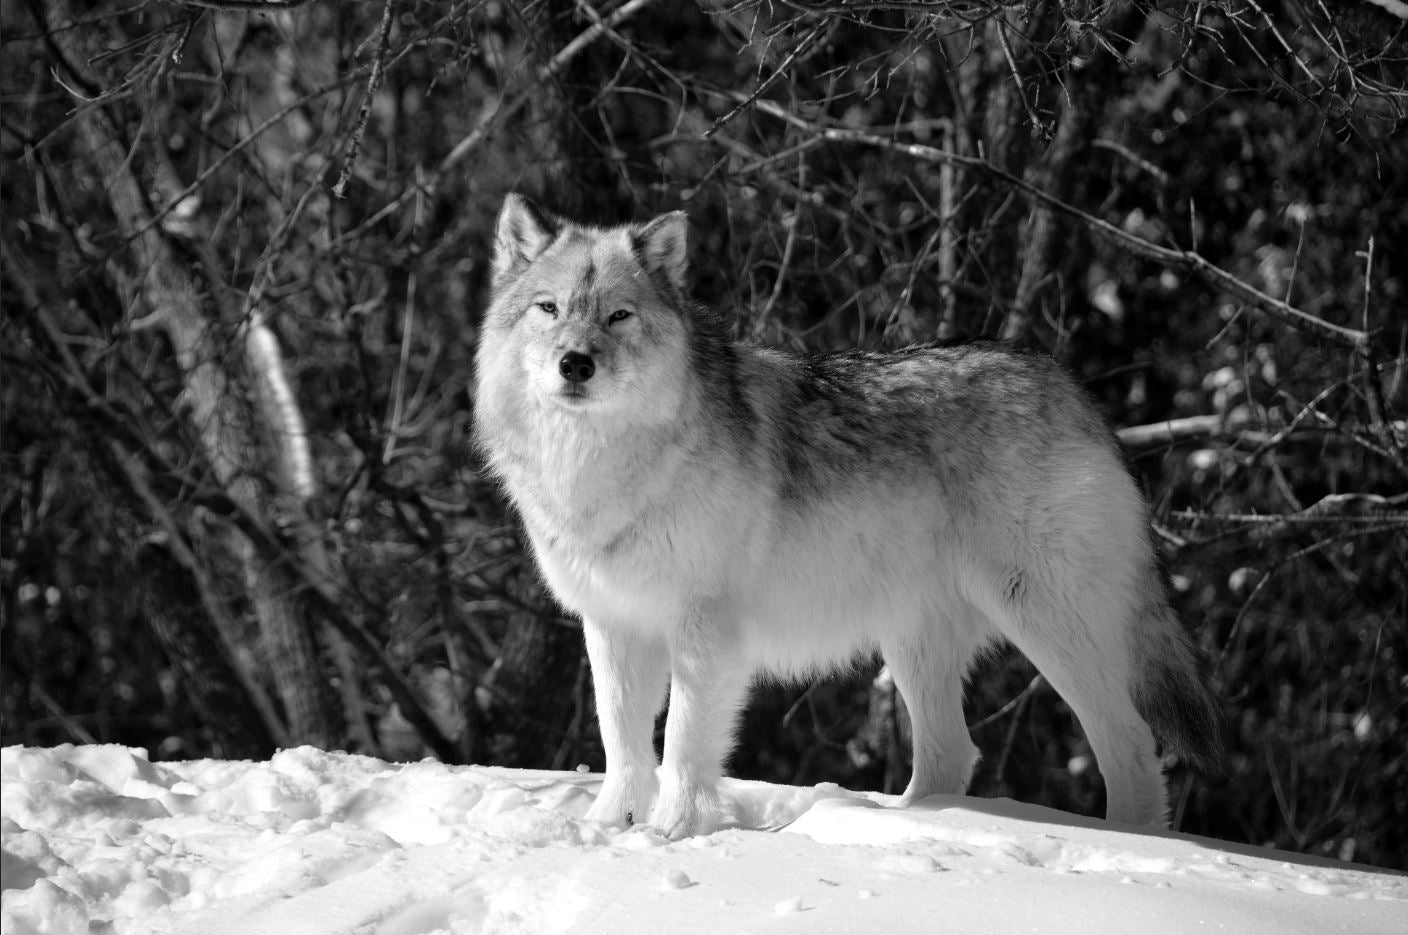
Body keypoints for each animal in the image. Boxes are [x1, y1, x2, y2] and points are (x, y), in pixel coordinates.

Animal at [473, 192, 1222, 833]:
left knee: (1129, 745)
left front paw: (672, 833)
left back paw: (1131, 846)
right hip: (914, 641)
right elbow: (623, 741)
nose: (576, 363)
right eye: (548, 308)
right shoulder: (613, 624)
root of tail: (1074, 390)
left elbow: (684, 744)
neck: (599, 469)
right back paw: (909, 825)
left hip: (1042, 619)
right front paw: (611, 828)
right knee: (953, 753)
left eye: (619, 315)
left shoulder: (704, 629)